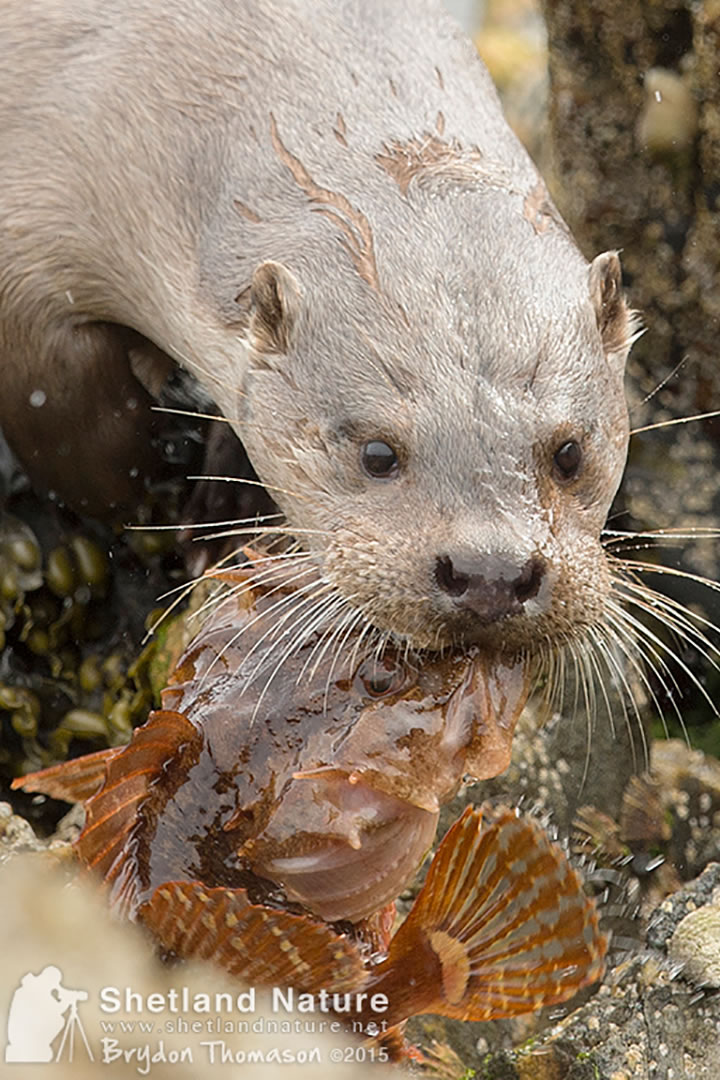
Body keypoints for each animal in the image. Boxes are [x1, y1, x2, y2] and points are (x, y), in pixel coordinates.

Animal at [0, 2, 634, 656]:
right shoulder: (27, 254)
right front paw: (164, 502)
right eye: (377, 454)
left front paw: (229, 507)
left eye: (569, 454)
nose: (492, 575)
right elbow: (79, 437)